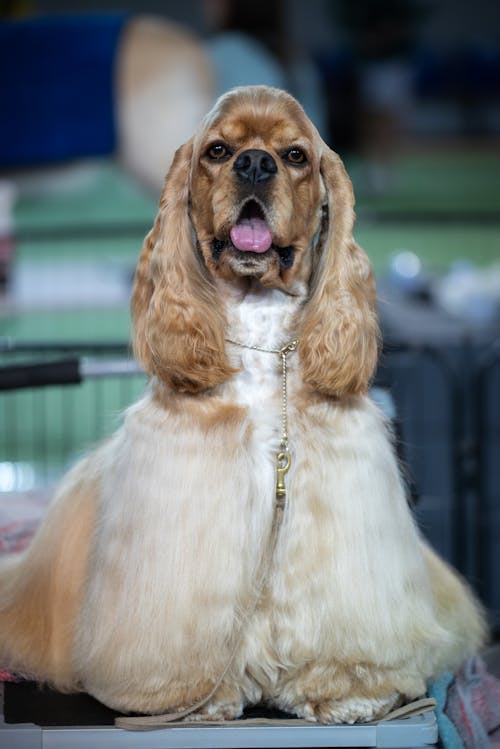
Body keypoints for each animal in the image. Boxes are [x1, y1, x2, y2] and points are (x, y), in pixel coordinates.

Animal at [0, 84, 486, 720]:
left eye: (296, 155)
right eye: (217, 150)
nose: (255, 164)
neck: (260, 329)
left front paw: (345, 689)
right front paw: (190, 695)